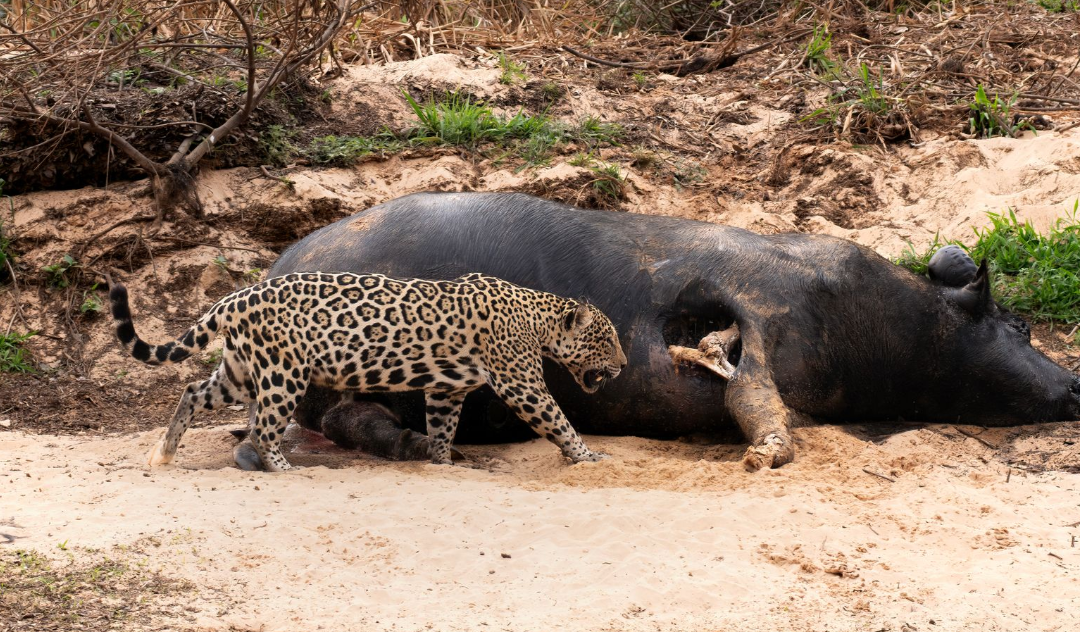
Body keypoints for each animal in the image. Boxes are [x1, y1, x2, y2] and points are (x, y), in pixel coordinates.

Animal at [109, 271, 627, 471]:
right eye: (607, 338)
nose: (623, 366)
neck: (537, 318)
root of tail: (236, 295)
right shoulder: (521, 384)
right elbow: (559, 421)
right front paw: (588, 456)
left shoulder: (445, 391)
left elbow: (443, 428)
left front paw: (442, 463)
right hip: (284, 373)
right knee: (261, 428)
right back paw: (283, 468)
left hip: (239, 371)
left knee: (193, 391)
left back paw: (164, 453)